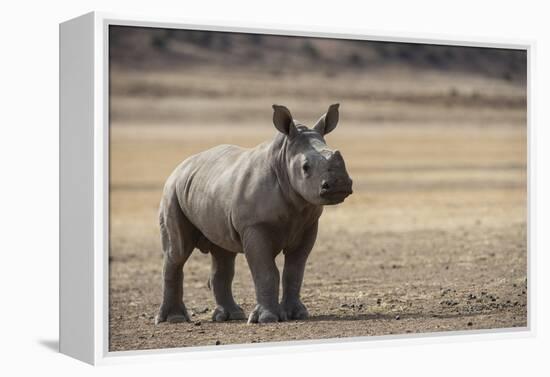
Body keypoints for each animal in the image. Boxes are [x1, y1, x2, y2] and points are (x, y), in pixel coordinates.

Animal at [156, 103, 354, 324]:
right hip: (172, 191)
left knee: (223, 254)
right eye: (305, 167)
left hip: (207, 187)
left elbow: (295, 270)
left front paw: (297, 314)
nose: (339, 184)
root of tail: (181, 166)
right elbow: (265, 271)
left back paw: (231, 316)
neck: (283, 159)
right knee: (177, 252)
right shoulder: (254, 225)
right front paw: (266, 318)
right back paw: (174, 319)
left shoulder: (308, 225)